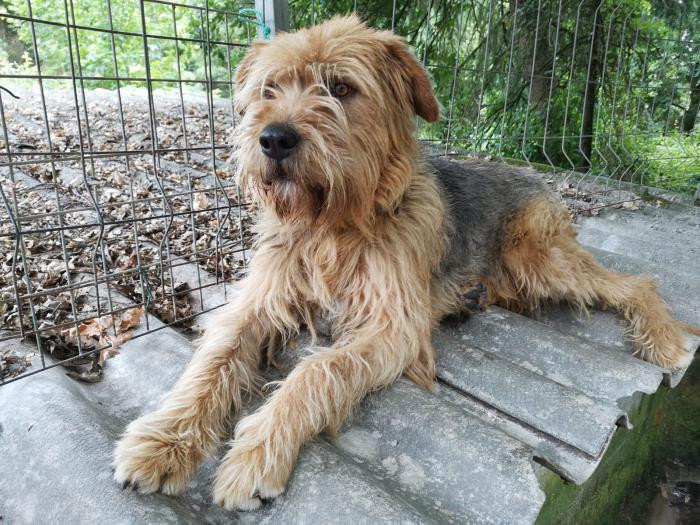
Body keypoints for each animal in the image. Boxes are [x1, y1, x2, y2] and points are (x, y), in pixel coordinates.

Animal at [113, 15, 697, 510]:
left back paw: (665, 339)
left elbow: (317, 370)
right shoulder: (259, 300)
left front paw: (258, 453)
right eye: (268, 90)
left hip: (539, 257)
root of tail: (537, 177)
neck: (333, 228)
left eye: (341, 88)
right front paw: (165, 442)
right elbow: (214, 360)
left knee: (636, 283)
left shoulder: (391, 326)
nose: (273, 138)